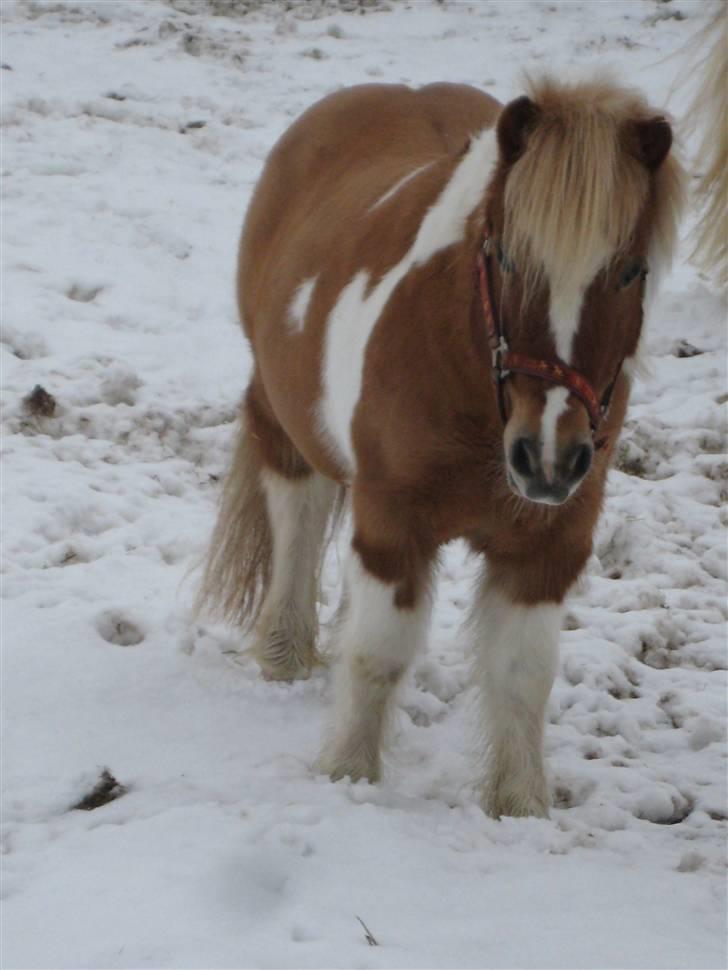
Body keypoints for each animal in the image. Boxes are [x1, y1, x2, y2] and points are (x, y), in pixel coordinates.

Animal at [198, 77, 684, 816]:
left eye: (628, 272)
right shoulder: (393, 524)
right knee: (296, 513)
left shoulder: (551, 544)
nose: (547, 457)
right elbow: (377, 654)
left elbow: (521, 676)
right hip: (284, 420)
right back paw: (284, 655)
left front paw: (520, 810)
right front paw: (348, 777)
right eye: (507, 256)